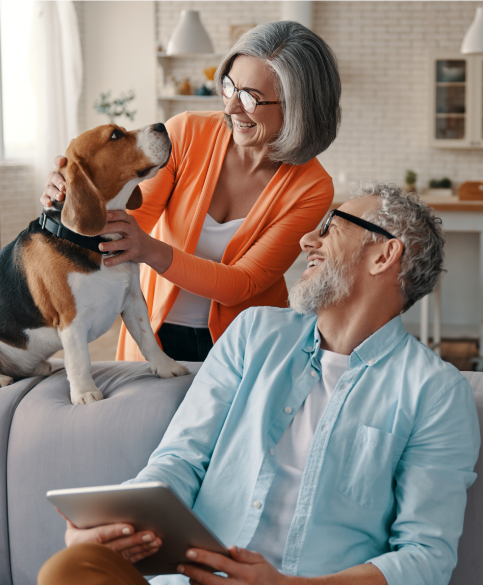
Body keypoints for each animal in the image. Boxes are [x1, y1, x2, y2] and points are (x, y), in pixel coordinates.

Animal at [0, 122, 189, 406]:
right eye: (115, 135)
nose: (161, 125)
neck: (94, 242)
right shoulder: (71, 320)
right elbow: (80, 360)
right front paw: (85, 393)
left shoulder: (134, 300)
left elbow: (148, 339)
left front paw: (167, 367)